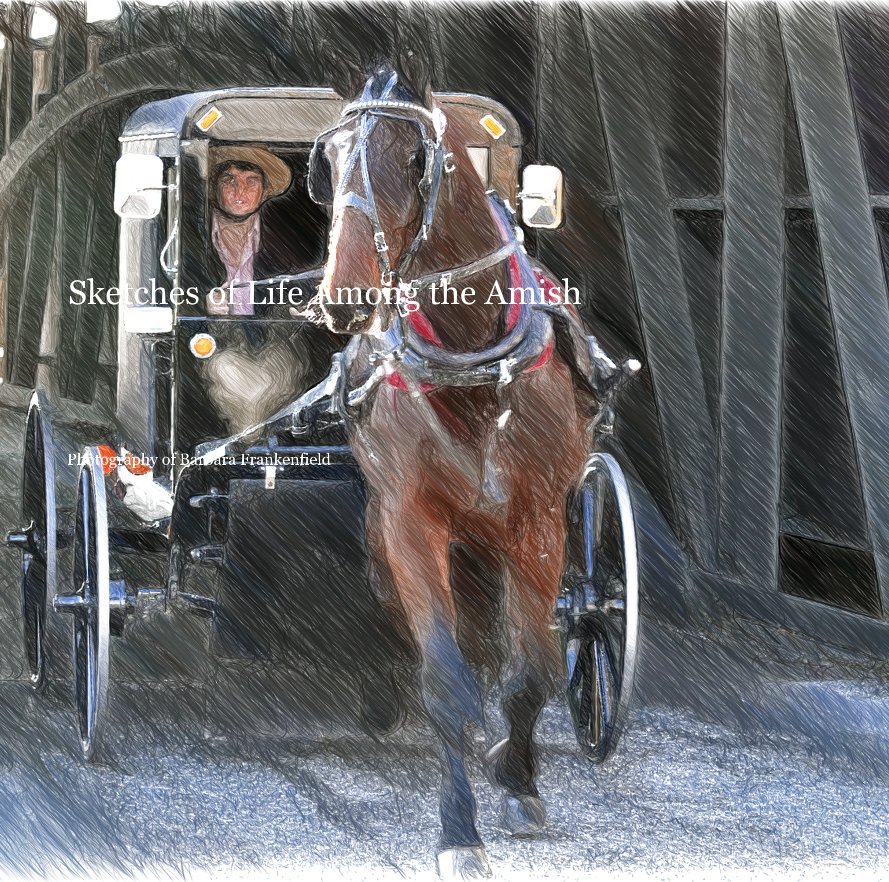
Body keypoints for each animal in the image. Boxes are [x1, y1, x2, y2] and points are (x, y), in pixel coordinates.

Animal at [310, 65, 596, 876]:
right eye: (327, 162)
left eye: (415, 159)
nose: (344, 297)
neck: (473, 360)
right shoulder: (410, 519)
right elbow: (445, 678)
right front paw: (457, 830)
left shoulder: (538, 519)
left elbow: (529, 669)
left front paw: (517, 779)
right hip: (394, 527)